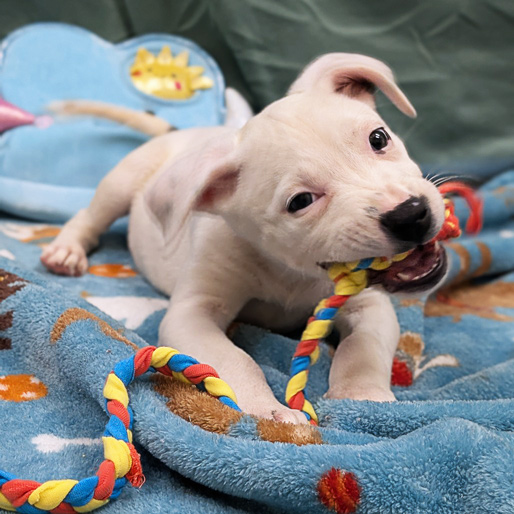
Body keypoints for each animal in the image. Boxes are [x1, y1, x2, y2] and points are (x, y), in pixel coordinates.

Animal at [42, 54, 446, 422]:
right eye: (301, 202)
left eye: (378, 138)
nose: (410, 215)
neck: (293, 271)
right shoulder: (192, 314)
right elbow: (234, 359)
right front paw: (270, 411)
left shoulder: (368, 304)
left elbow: (361, 348)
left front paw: (362, 397)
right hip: (122, 181)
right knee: (89, 215)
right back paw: (66, 251)